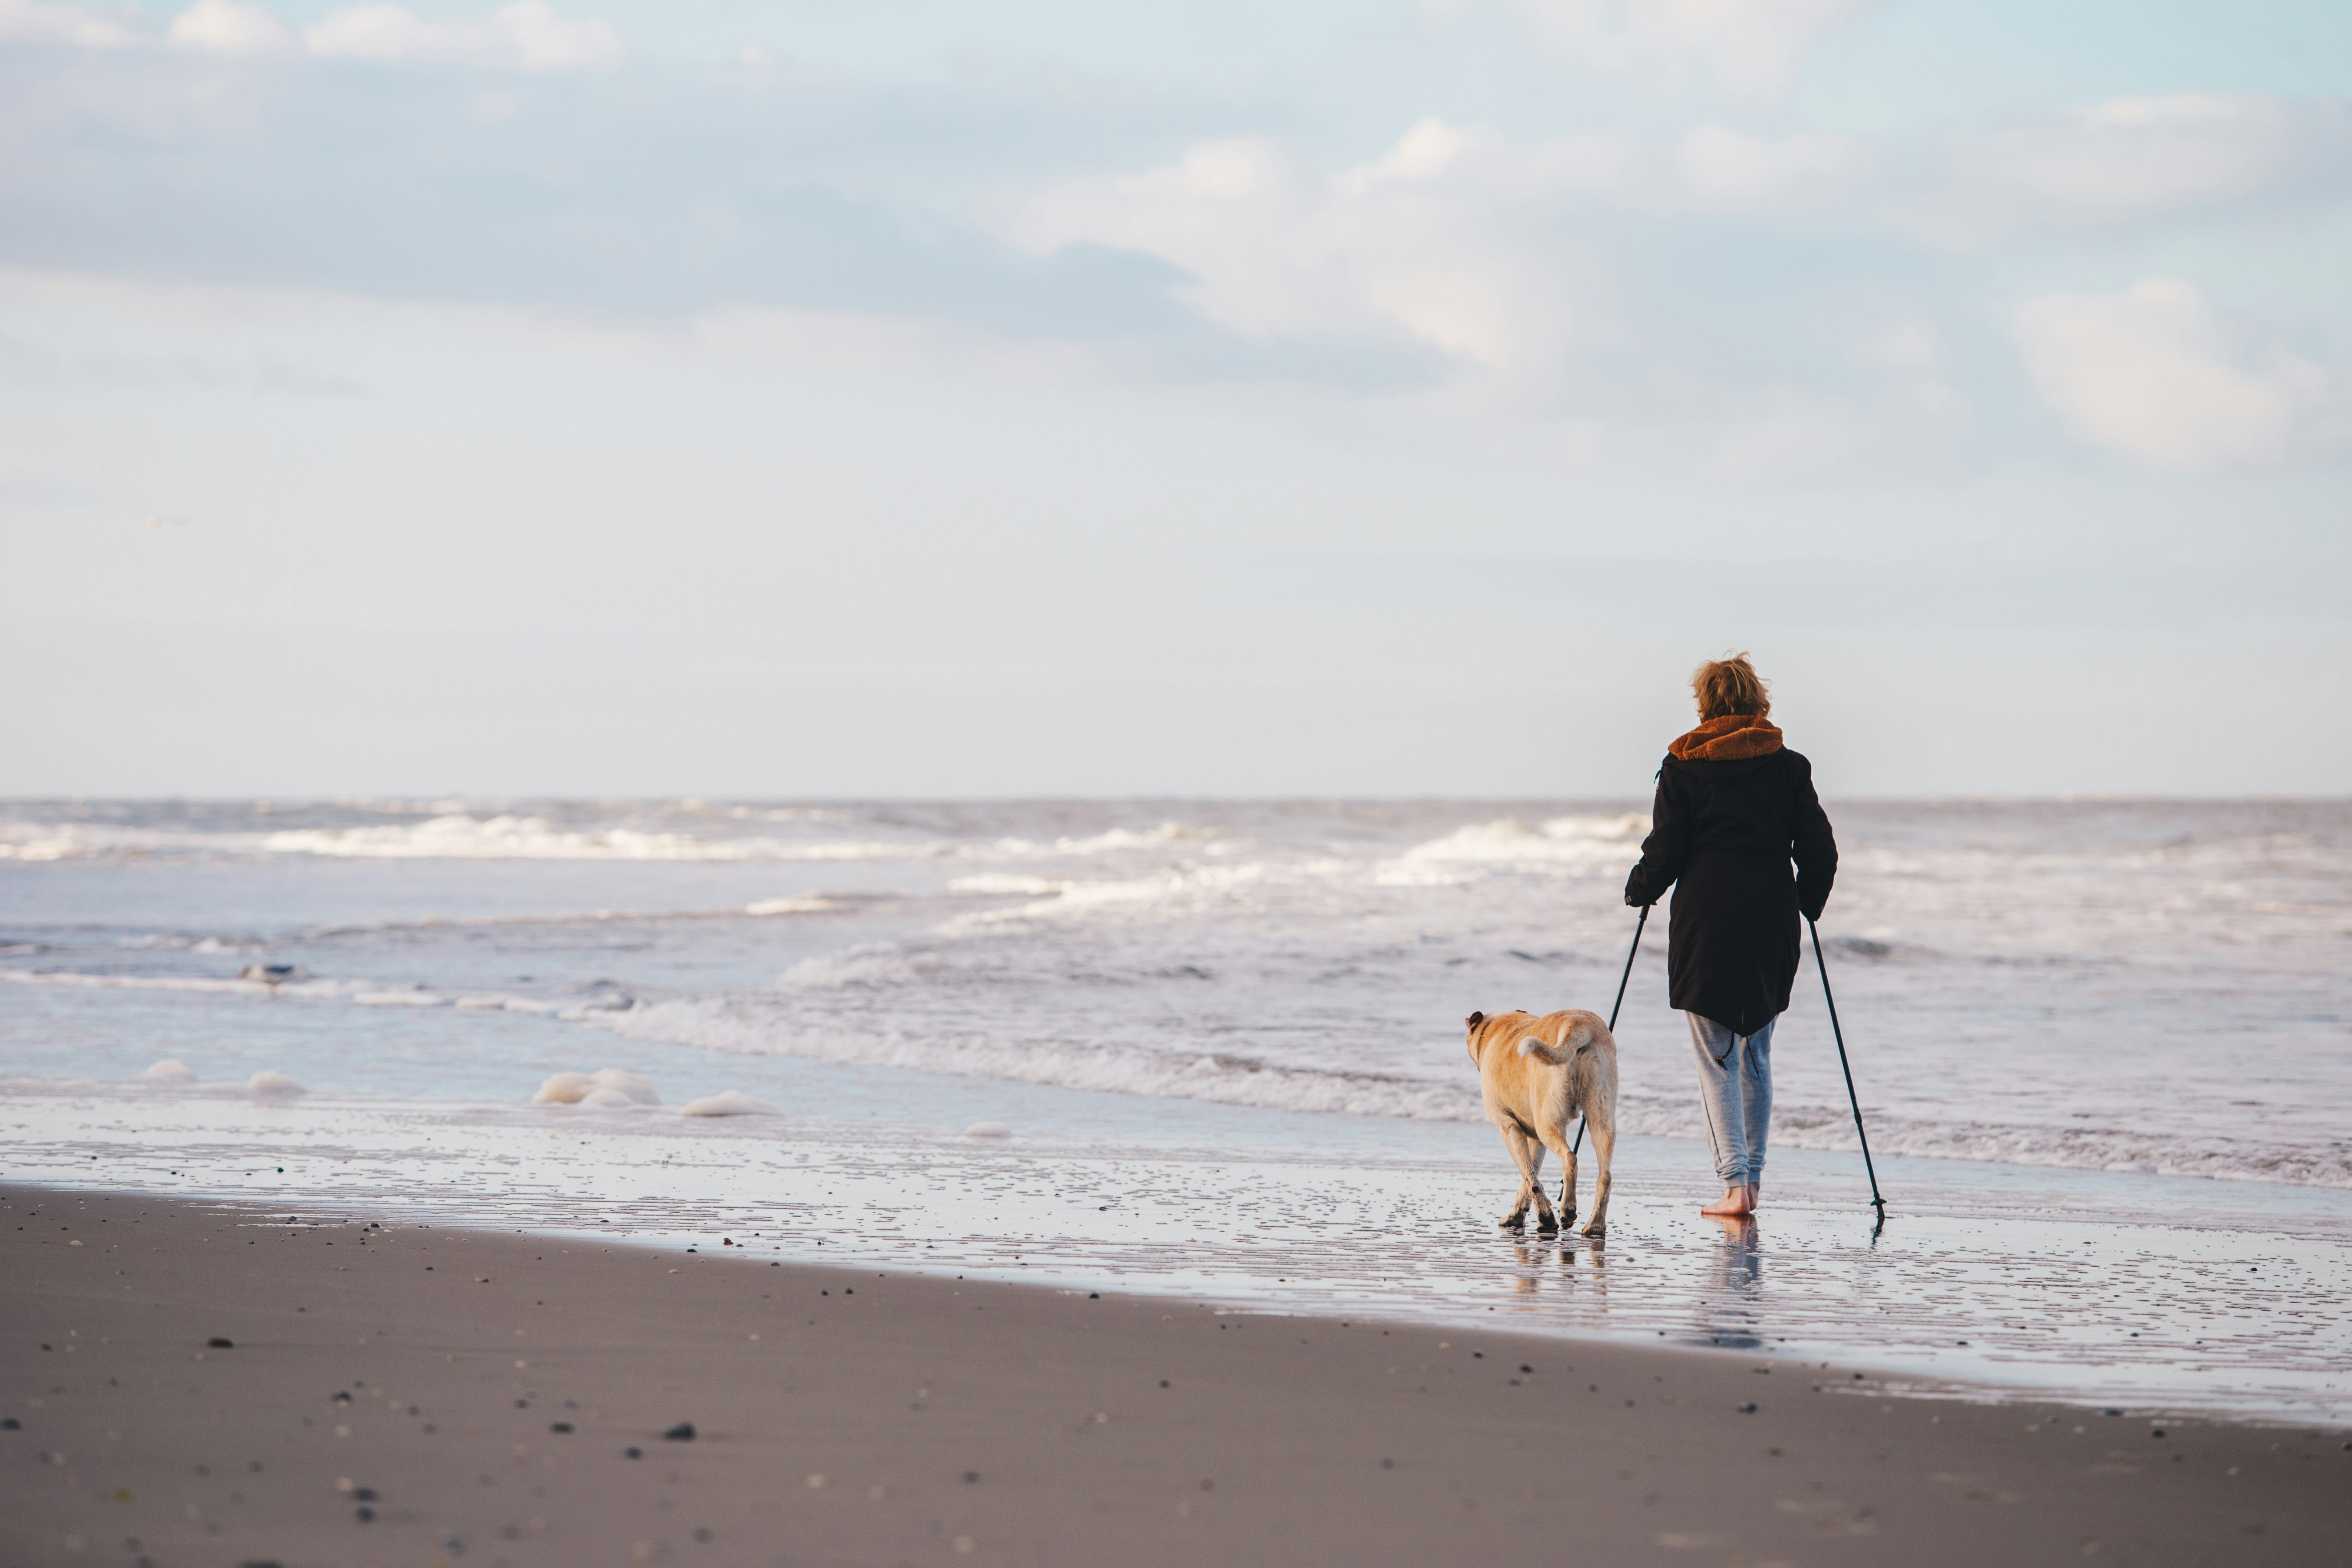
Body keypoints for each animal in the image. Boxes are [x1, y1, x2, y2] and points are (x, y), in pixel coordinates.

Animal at [1468, 1006, 1618, 1241]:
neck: (1492, 1030)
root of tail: (1578, 1027)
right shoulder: (1535, 1140)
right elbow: (1530, 1175)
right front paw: (1519, 1216)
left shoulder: (1509, 1129)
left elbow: (1530, 1177)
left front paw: (1546, 1218)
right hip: (1601, 1116)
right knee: (1605, 1176)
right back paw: (1595, 1226)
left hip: (1548, 1123)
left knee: (1569, 1158)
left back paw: (1568, 1209)